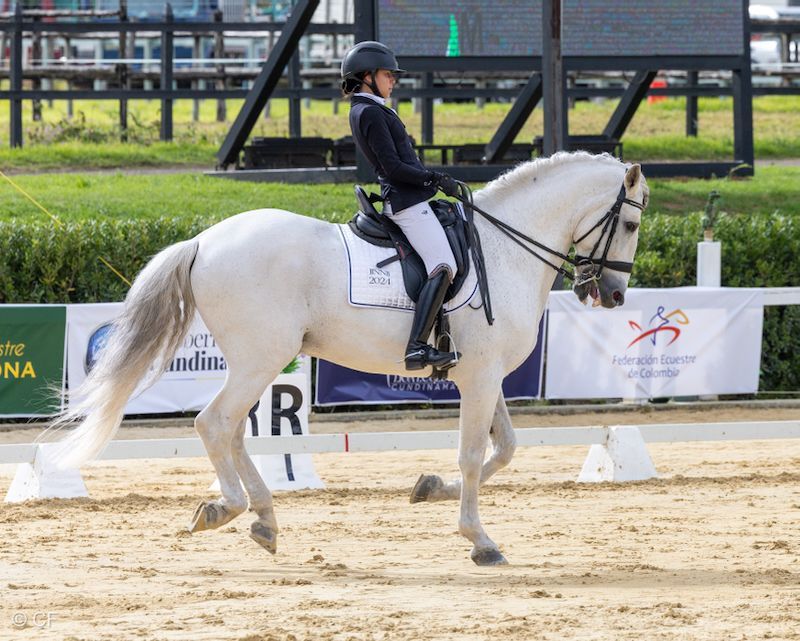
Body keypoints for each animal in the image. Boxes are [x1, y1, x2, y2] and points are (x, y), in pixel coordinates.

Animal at [51, 151, 648, 566]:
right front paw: (480, 540)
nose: (614, 295)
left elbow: (504, 450)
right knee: (214, 423)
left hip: (256, 360)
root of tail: (203, 241)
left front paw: (430, 489)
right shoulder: (479, 379)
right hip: (262, 356)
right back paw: (229, 509)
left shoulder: (485, 375)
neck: (503, 252)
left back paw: (263, 519)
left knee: (234, 431)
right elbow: (473, 457)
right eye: (632, 225)